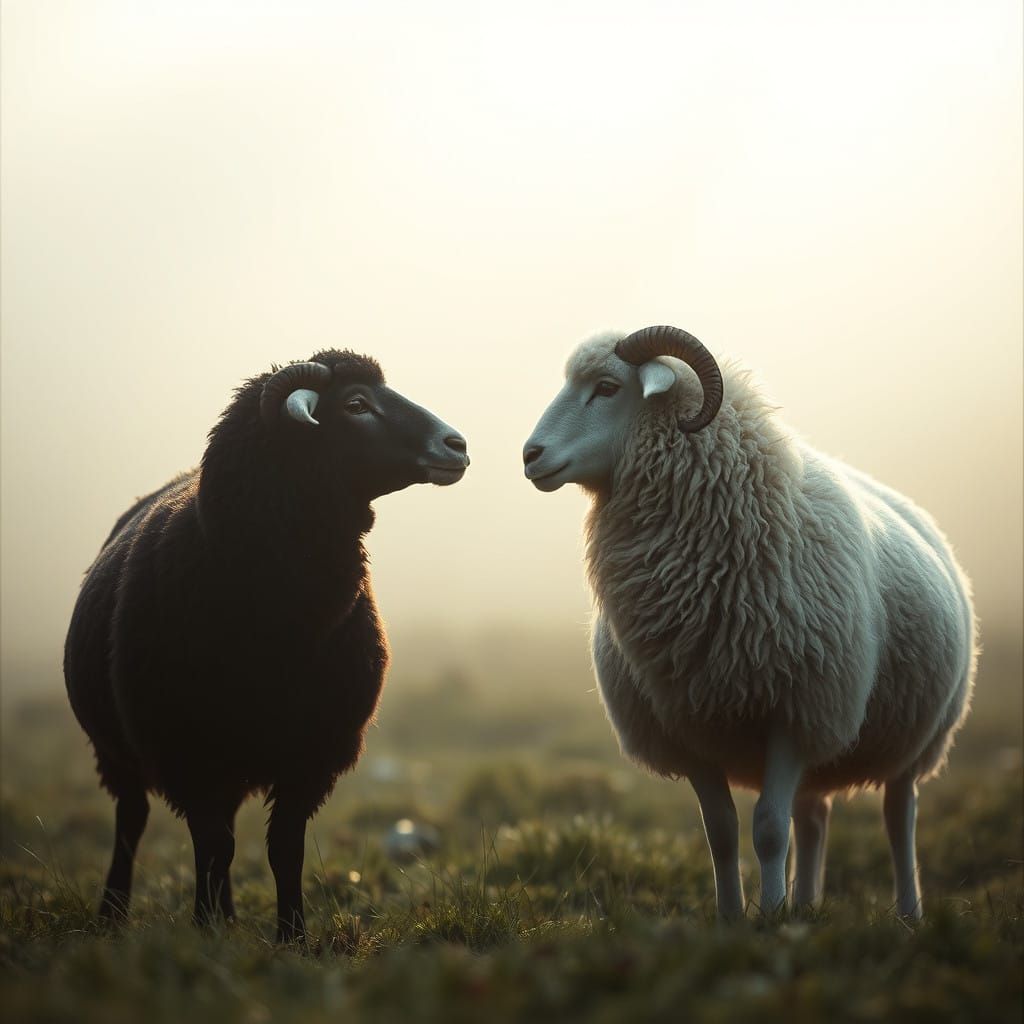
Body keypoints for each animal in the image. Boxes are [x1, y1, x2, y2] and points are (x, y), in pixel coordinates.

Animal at [64, 350, 469, 942]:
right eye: (356, 404)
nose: (457, 444)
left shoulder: (311, 752)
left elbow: (283, 849)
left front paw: (291, 935)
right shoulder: (187, 749)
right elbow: (212, 846)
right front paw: (205, 929)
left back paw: (227, 914)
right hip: (117, 748)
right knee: (132, 823)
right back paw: (113, 914)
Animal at [522, 325, 976, 919]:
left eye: (606, 387)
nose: (530, 455)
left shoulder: (795, 714)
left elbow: (767, 829)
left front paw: (769, 914)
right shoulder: (687, 729)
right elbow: (720, 831)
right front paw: (733, 918)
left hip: (918, 737)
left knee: (898, 817)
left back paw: (905, 913)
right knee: (813, 816)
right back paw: (805, 906)